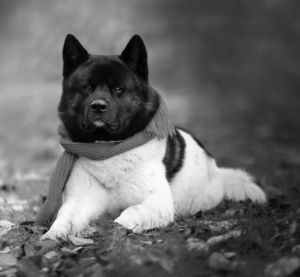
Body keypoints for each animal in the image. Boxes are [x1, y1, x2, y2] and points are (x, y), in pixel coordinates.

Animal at [40, 33, 268, 239]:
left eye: (118, 88)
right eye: (87, 87)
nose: (98, 106)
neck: (109, 147)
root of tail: (217, 170)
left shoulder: (158, 203)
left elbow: (130, 212)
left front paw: (115, 229)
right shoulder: (80, 201)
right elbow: (64, 216)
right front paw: (53, 235)